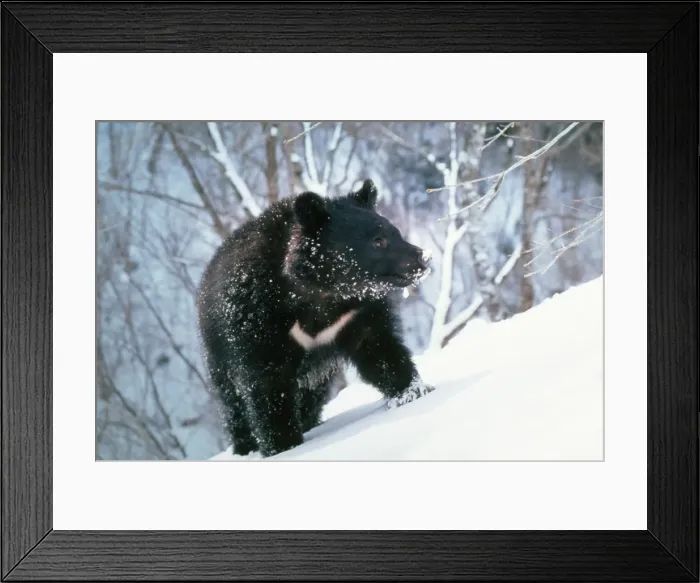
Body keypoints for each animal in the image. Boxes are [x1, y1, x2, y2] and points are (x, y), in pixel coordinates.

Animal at [197, 179, 435, 458]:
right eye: (378, 241)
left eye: (395, 232)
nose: (423, 258)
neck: (319, 293)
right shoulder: (256, 321)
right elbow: (267, 386)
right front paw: (282, 446)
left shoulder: (355, 314)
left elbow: (380, 349)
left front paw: (412, 392)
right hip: (218, 353)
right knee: (232, 403)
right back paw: (245, 446)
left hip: (316, 375)